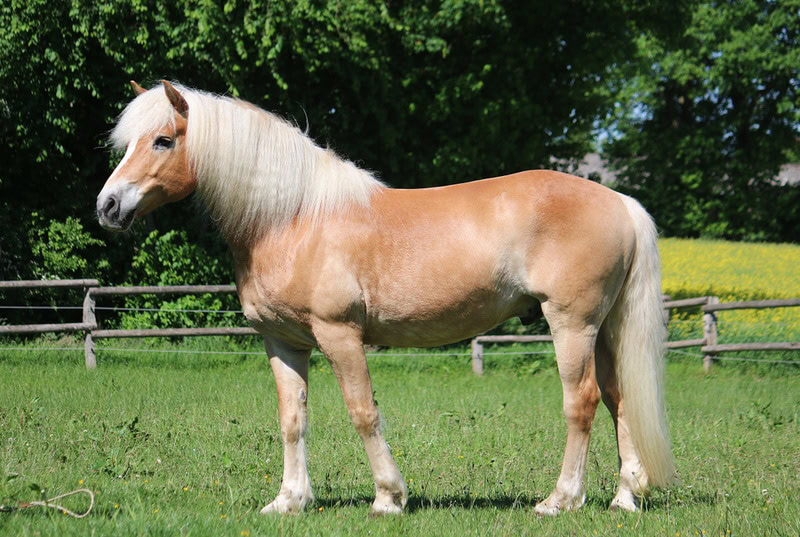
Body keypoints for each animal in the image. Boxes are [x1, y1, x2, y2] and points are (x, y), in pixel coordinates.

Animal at [96, 80, 675, 516]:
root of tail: (619, 202)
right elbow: (292, 420)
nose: (108, 206)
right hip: (606, 327)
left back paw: (560, 500)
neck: (293, 218)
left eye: (163, 140)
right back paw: (624, 498)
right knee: (620, 399)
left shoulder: (339, 334)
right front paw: (289, 501)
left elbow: (362, 412)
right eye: (128, 142)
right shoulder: (283, 342)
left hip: (571, 323)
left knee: (583, 402)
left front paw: (388, 498)